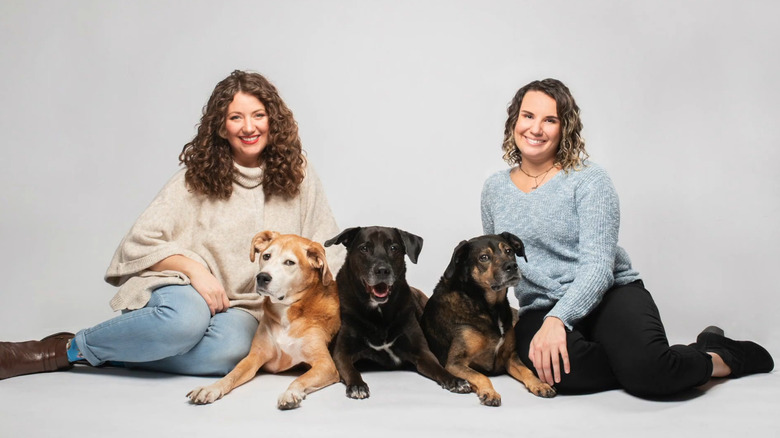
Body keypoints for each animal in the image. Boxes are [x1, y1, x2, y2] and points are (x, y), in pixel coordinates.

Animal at [187, 231, 340, 408]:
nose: (262, 277)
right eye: (266, 256)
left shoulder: (325, 364)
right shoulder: (254, 357)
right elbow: (232, 375)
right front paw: (211, 388)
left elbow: (300, 379)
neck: (286, 312)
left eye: (289, 262)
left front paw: (290, 392)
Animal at [322, 228, 470, 398]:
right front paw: (357, 386)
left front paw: (456, 380)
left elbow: (439, 368)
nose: (382, 271)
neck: (379, 312)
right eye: (364, 248)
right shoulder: (341, 354)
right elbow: (351, 370)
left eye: (394, 248)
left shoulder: (422, 352)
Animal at [420, 233, 556, 408]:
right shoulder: (455, 363)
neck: (489, 307)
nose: (512, 266)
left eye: (509, 251)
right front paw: (490, 393)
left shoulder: (510, 357)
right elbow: (480, 375)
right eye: (484, 257)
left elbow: (527, 370)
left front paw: (540, 384)